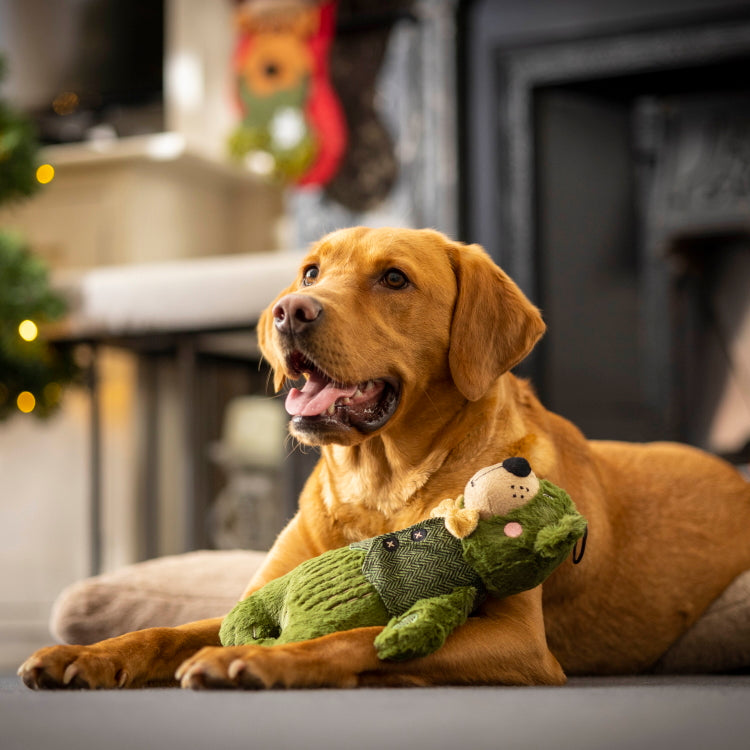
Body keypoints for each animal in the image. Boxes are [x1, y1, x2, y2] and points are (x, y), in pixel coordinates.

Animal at [17, 226, 750, 692]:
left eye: (394, 278)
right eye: (311, 272)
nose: (290, 310)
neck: (379, 486)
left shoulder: (520, 641)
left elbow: (358, 635)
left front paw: (262, 659)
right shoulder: (251, 594)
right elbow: (162, 631)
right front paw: (86, 655)